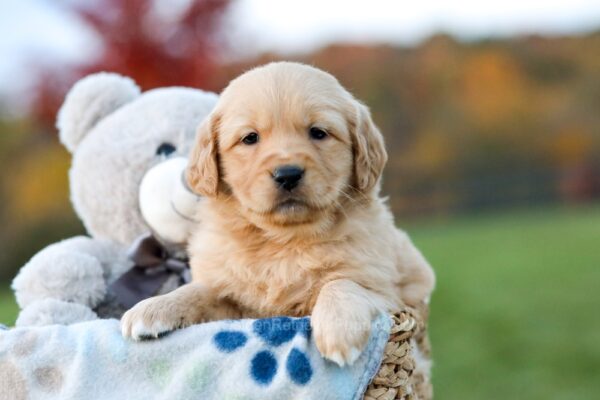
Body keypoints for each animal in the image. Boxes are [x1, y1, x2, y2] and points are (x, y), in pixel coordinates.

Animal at [122, 61, 434, 366]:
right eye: (250, 138)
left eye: (318, 132)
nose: (287, 174)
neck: (283, 240)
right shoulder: (233, 303)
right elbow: (199, 291)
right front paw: (153, 308)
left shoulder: (388, 293)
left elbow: (343, 282)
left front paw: (337, 331)